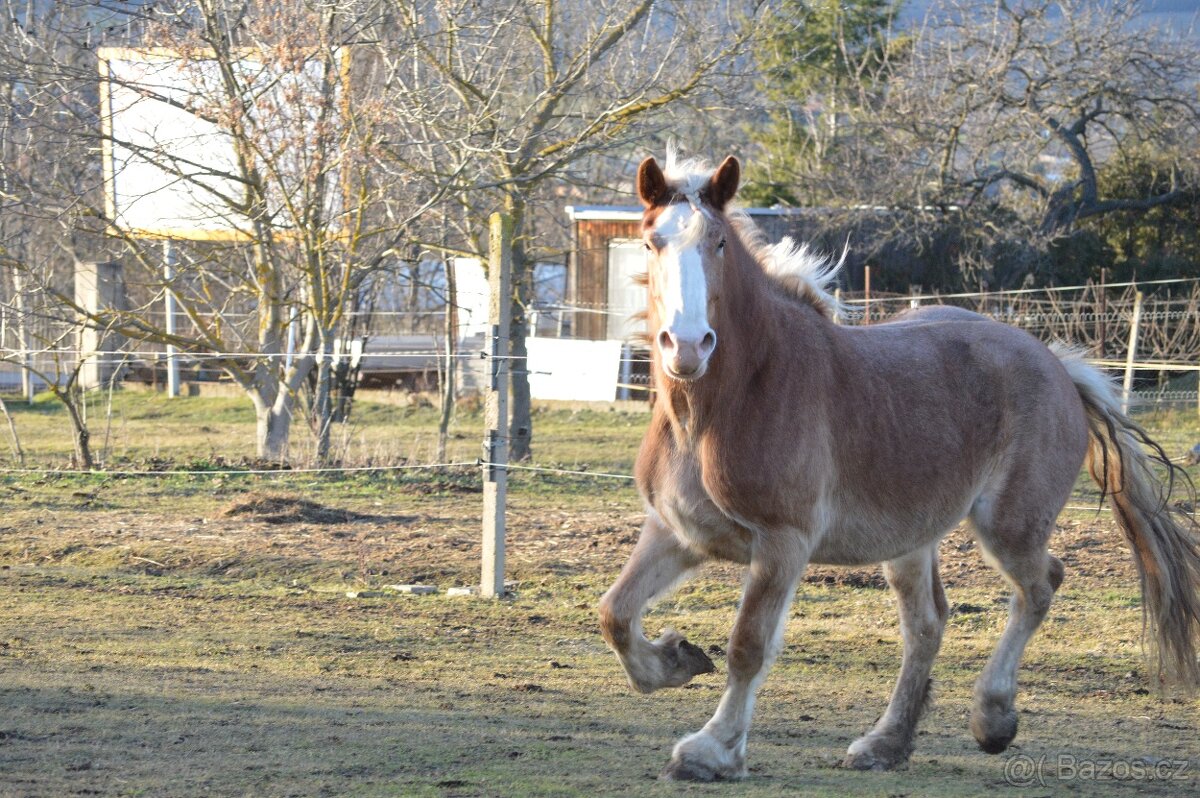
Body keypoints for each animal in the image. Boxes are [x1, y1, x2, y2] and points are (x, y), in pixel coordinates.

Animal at [597, 152, 1200, 782]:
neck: (722, 407)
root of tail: (1057, 363)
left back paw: (992, 719)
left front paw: (711, 751)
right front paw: (677, 659)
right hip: (910, 540)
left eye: (717, 242)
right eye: (650, 243)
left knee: (1040, 587)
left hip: (1009, 528)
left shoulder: (783, 542)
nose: (688, 347)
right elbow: (614, 613)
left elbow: (748, 647)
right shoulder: (677, 532)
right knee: (928, 624)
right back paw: (886, 743)